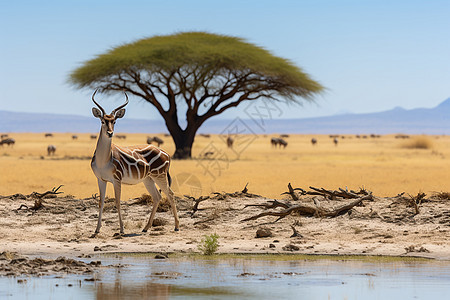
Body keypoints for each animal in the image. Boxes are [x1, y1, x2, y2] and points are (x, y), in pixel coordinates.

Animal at [90, 90, 180, 236]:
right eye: (103, 121)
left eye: (114, 121)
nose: (110, 133)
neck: (103, 160)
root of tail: (166, 154)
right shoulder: (101, 179)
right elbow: (101, 202)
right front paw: (97, 230)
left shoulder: (117, 179)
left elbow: (117, 202)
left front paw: (121, 229)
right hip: (148, 179)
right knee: (157, 196)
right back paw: (145, 228)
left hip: (159, 176)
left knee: (170, 194)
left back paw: (177, 226)